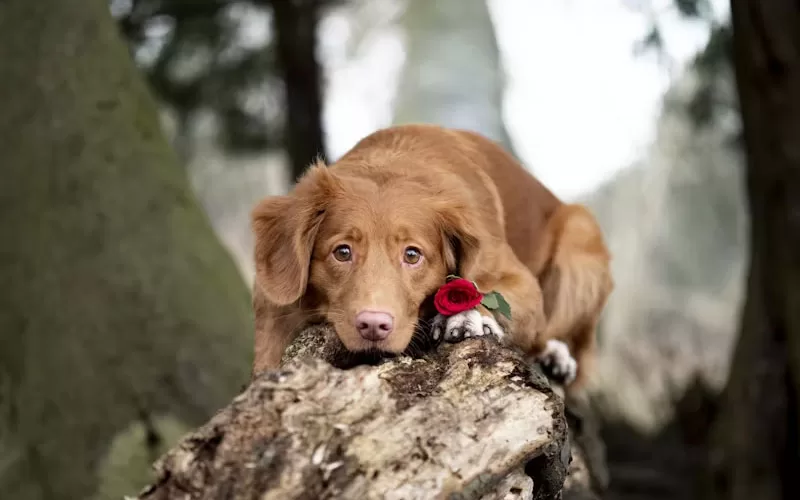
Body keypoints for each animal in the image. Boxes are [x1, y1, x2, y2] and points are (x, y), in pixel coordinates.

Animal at [250, 123, 612, 388]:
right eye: (342, 252)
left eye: (412, 255)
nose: (373, 325)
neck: (393, 162)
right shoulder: (275, 300)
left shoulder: (519, 279)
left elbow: (487, 291)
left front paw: (467, 316)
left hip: (581, 236)